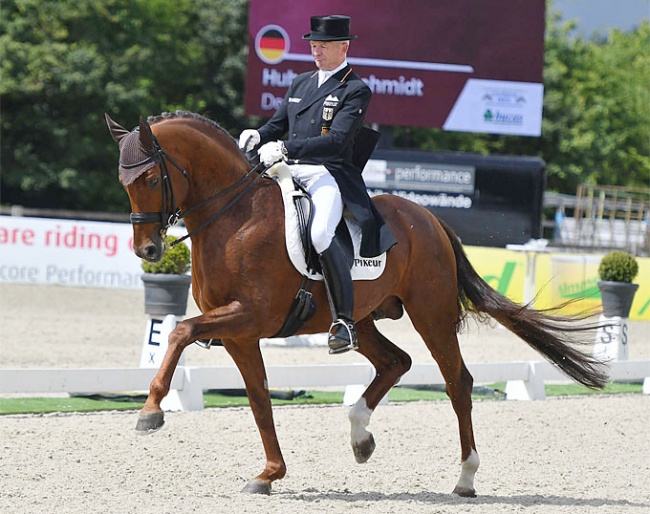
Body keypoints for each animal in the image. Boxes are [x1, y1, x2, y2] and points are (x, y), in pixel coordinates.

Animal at [104, 110, 604, 494]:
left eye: (151, 177)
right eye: (122, 181)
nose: (148, 250)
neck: (236, 219)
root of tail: (430, 219)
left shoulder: (247, 317)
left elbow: (180, 331)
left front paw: (150, 412)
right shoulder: (239, 333)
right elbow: (259, 399)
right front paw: (269, 474)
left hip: (431, 313)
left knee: (457, 382)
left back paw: (465, 478)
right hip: (361, 319)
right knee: (395, 362)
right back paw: (361, 436)